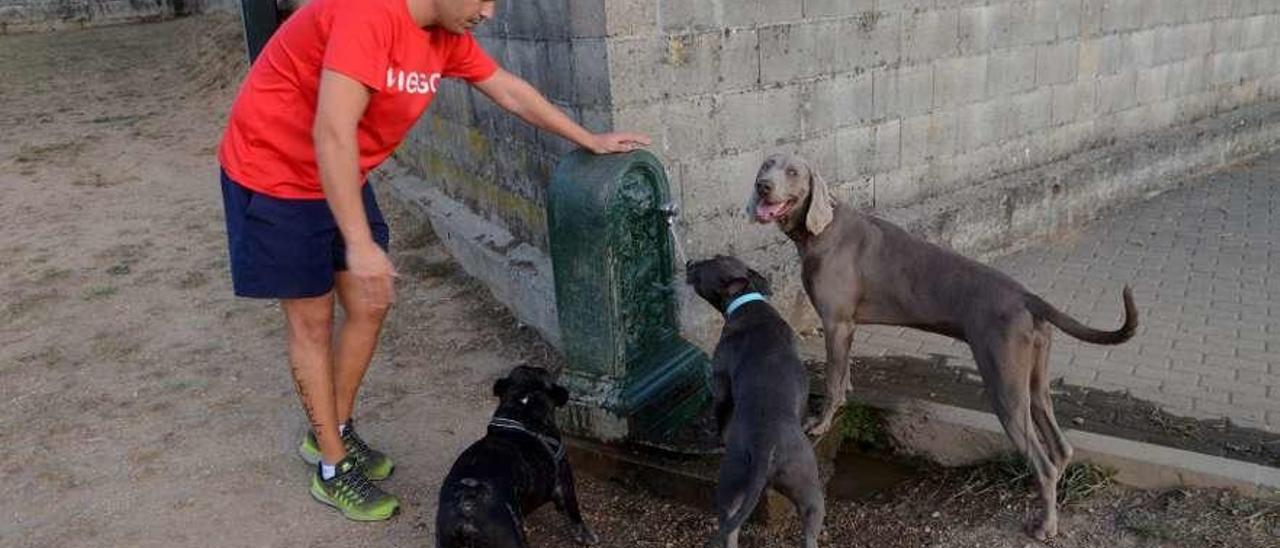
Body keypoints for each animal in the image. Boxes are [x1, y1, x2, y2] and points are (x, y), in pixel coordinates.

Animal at [686, 257, 824, 548]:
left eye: (707, 263)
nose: (690, 261)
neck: (746, 301)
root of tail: (765, 448)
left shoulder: (721, 384)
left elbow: (721, 418)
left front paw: (716, 439)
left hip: (730, 478)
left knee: (729, 530)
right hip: (806, 491)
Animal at [747, 151, 1141, 537]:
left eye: (793, 172)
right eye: (766, 164)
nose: (763, 185)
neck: (821, 229)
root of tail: (1028, 298)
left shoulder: (836, 324)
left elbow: (831, 381)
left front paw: (820, 423)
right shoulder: (848, 329)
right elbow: (843, 375)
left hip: (1005, 386)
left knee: (1042, 463)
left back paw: (1045, 526)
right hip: (1034, 377)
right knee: (1060, 448)